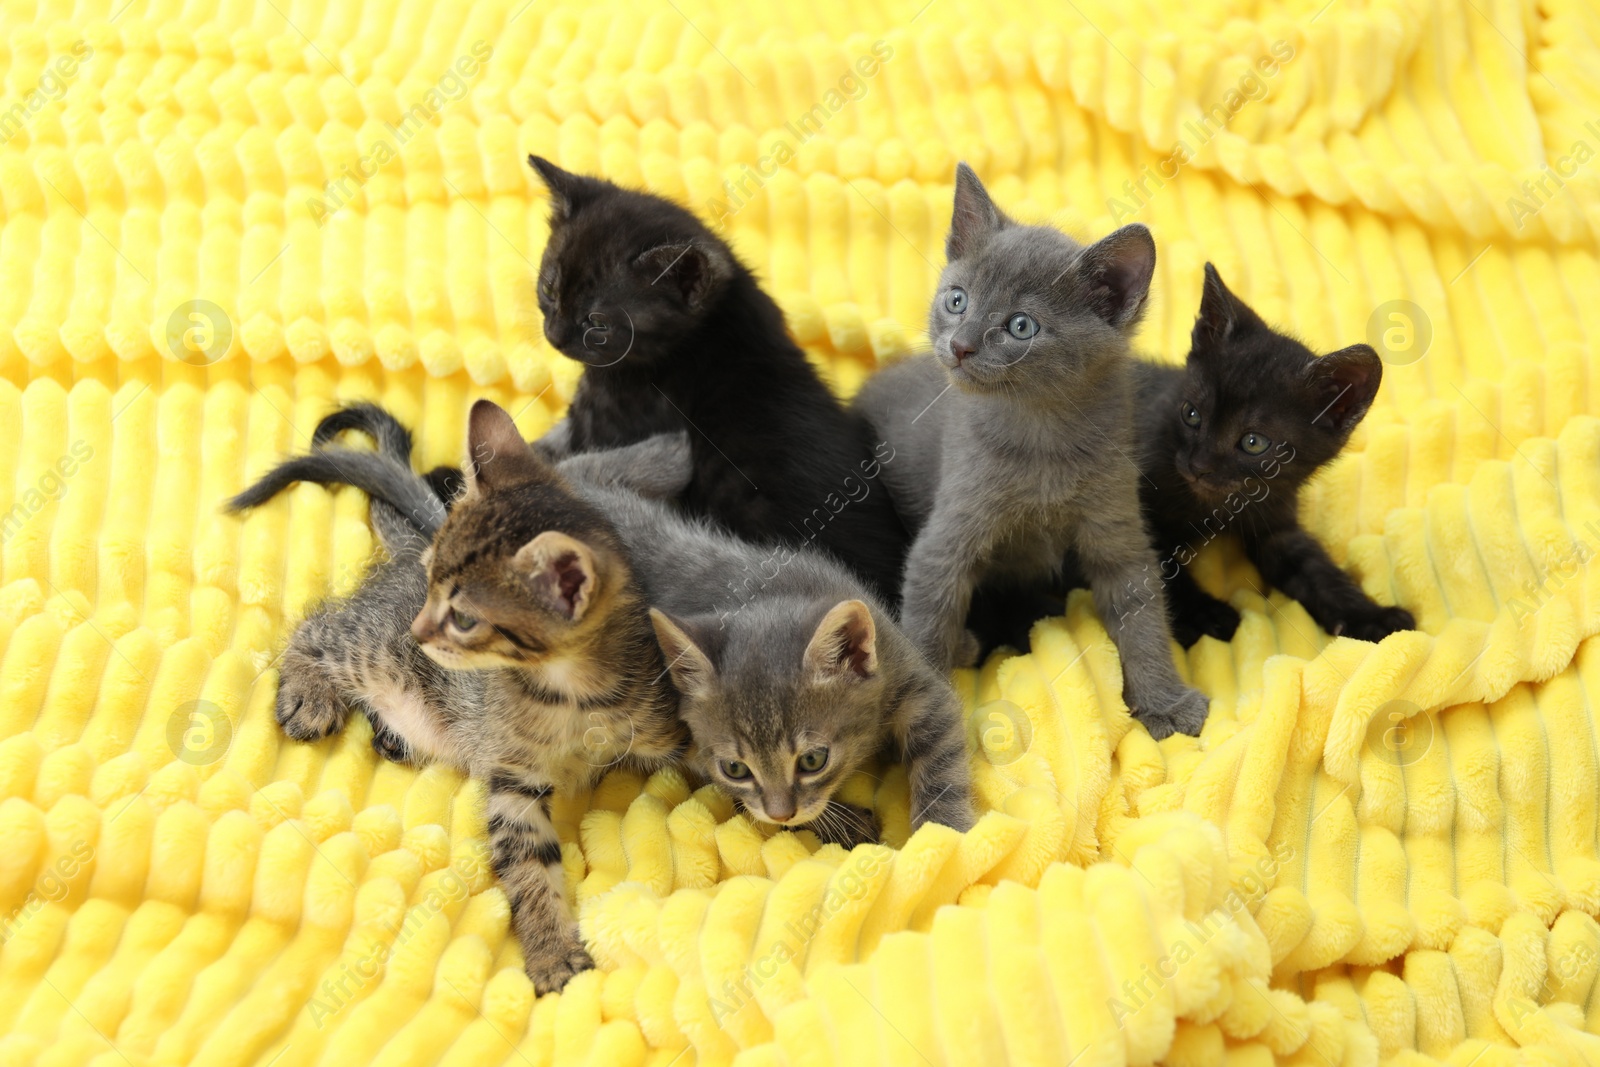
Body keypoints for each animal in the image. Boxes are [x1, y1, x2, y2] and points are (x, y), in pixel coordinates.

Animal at [225, 399, 688, 991]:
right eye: (431, 584)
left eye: (465, 618)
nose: (420, 631)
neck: (570, 696)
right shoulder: (514, 779)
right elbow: (530, 867)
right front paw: (552, 952)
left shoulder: (663, 724)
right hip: (374, 652)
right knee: (316, 627)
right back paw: (310, 694)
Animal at [857, 163, 1203, 739]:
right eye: (957, 300)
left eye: (1021, 326)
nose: (960, 345)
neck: (1043, 440)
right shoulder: (945, 541)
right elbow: (927, 623)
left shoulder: (1117, 529)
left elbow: (1143, 616)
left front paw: (1165, 700)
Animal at [1132, 262, 1420, 646]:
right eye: (1191, 414)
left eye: (1254, 443)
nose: (1198, 466)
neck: (1217, 504)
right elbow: (1157, 568)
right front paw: (1203, 613)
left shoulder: (1277, 524)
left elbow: (1315, 570)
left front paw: (1371, 616)